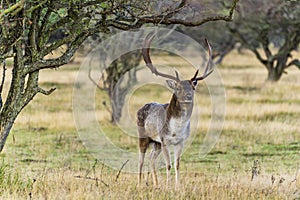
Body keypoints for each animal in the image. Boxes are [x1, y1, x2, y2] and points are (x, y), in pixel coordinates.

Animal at [137, 33, 214, 188]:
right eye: (178, 88)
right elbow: (168, 165)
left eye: (193, 87)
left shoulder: (180, 141)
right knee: (141, 160)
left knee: (151, 158)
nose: (188, 96)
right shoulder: (165, 139)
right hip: (144, 136)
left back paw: (155, 183)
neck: (175, 129)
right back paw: (140, 183)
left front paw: (177, 186)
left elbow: (177, 164)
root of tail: (141, 108)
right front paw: (168, 186)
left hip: (156, 143)